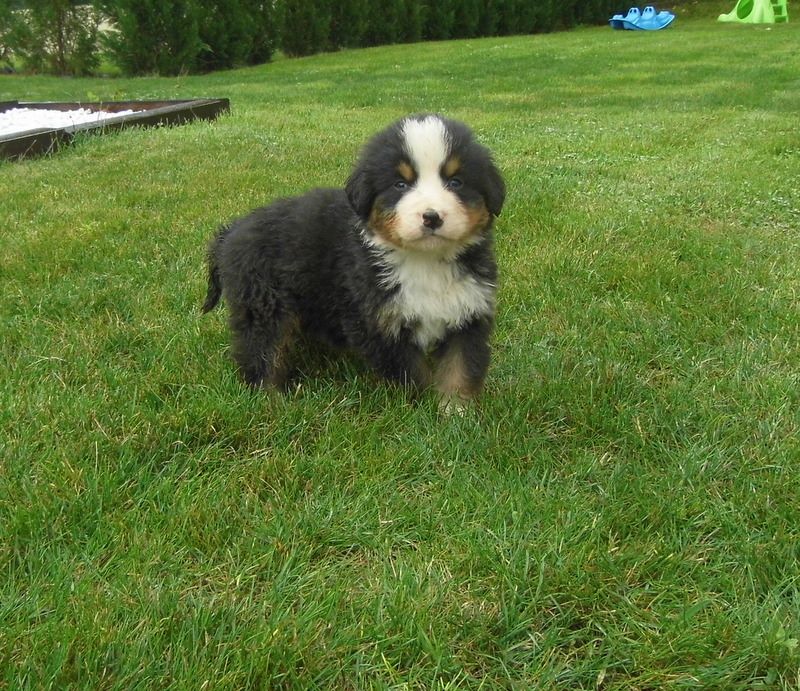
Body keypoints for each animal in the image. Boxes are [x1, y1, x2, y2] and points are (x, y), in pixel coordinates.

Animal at [202, 114, 505, 407]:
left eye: (456, 182)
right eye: (400, 184)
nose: (432, 217)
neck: (424, 262)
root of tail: (231, 231)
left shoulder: (468, 311)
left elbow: (460, 369)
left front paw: (456, 412)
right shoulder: (379, 323)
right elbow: (413, 375)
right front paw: (421, 409)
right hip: (264, 305)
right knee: (261, 353)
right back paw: (271, 400)